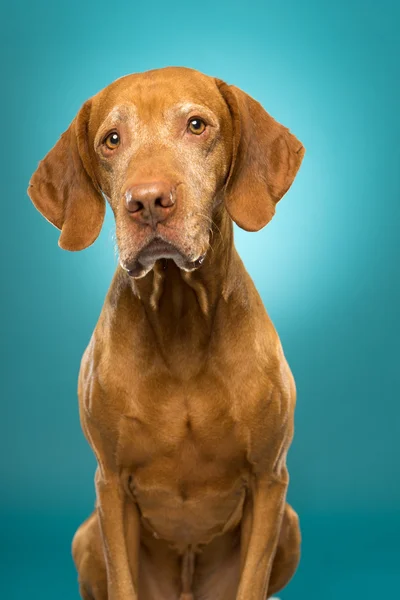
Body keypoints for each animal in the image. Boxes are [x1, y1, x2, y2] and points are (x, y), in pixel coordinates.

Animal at [27, 67, 304, 600]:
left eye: (196, 125)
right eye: (111, 140)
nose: (147, 201)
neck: (182, 320)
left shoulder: (268, 480)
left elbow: (253, 579)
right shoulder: (112, 484)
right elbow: (122, 579)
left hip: (290, 524)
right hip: (86, 534)